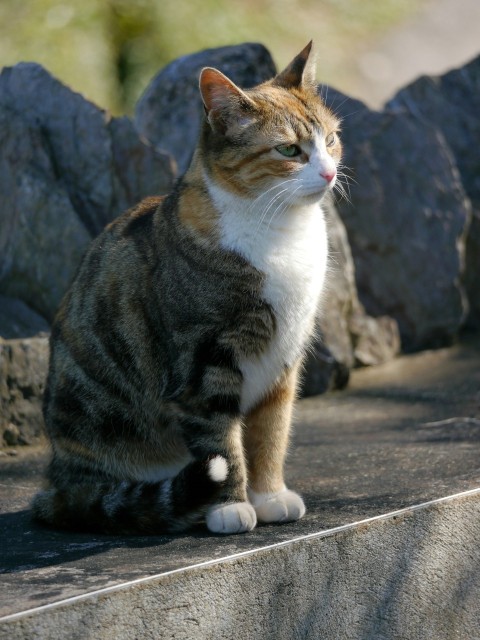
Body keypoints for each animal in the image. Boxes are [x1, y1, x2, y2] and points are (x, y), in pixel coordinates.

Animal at [31, 41, 342, 536]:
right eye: (289, 149)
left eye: (330, 139)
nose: (330, 174)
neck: (280, 231)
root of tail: (57, 482)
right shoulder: (202, 360)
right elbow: (222, 443)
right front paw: (231, 506)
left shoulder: (284, 360)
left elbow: (271, 434)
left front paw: (269, 496)